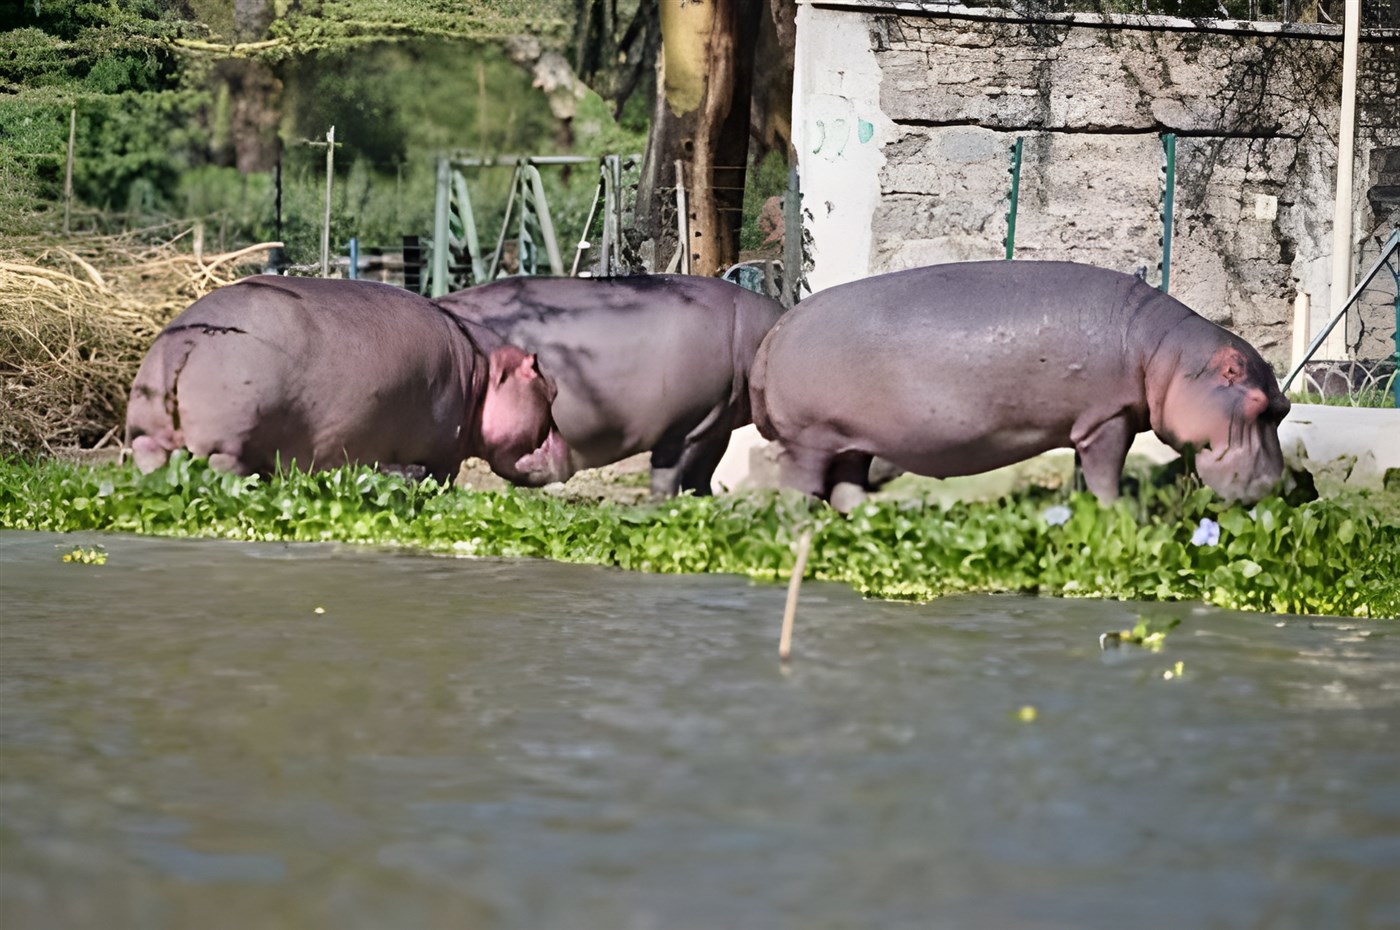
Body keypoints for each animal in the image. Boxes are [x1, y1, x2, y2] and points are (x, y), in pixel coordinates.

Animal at [125, 276, 561, 483]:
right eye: (550, 388)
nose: (567, 450)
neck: (482, 368)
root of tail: (187, 340)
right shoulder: (443, 457)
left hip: (149, 437)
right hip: (226, 449)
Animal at [750, 260, 1290, 510]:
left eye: (1283, 408)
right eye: (1256, 403)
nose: (1277, 485)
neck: (1166, 355)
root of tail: (778, 328)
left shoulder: (1087, 425)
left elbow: (1084, 473)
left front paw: (1082, 508)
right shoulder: (1108, 419)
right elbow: (1105, 472)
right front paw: (1119, 510)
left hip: (851, 440)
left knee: (846, 488)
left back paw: (877, 516)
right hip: (809, 440)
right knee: (800, 489)